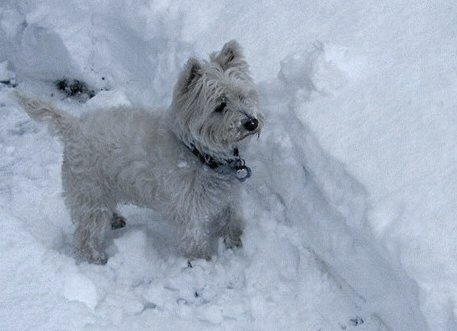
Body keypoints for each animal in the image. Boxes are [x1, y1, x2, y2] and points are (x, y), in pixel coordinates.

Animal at [16, 40, 264, 264]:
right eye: (219, 106)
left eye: (242, 96)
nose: (252, 123)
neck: (199, 154)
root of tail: (74, 127)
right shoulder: (186, 207)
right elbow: (194, 237)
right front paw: (203, 261)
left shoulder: (227, 197)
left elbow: (232, 219)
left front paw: (235, 242)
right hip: (90, 192)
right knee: (86, 233)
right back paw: (95, 257)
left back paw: (115, 219)